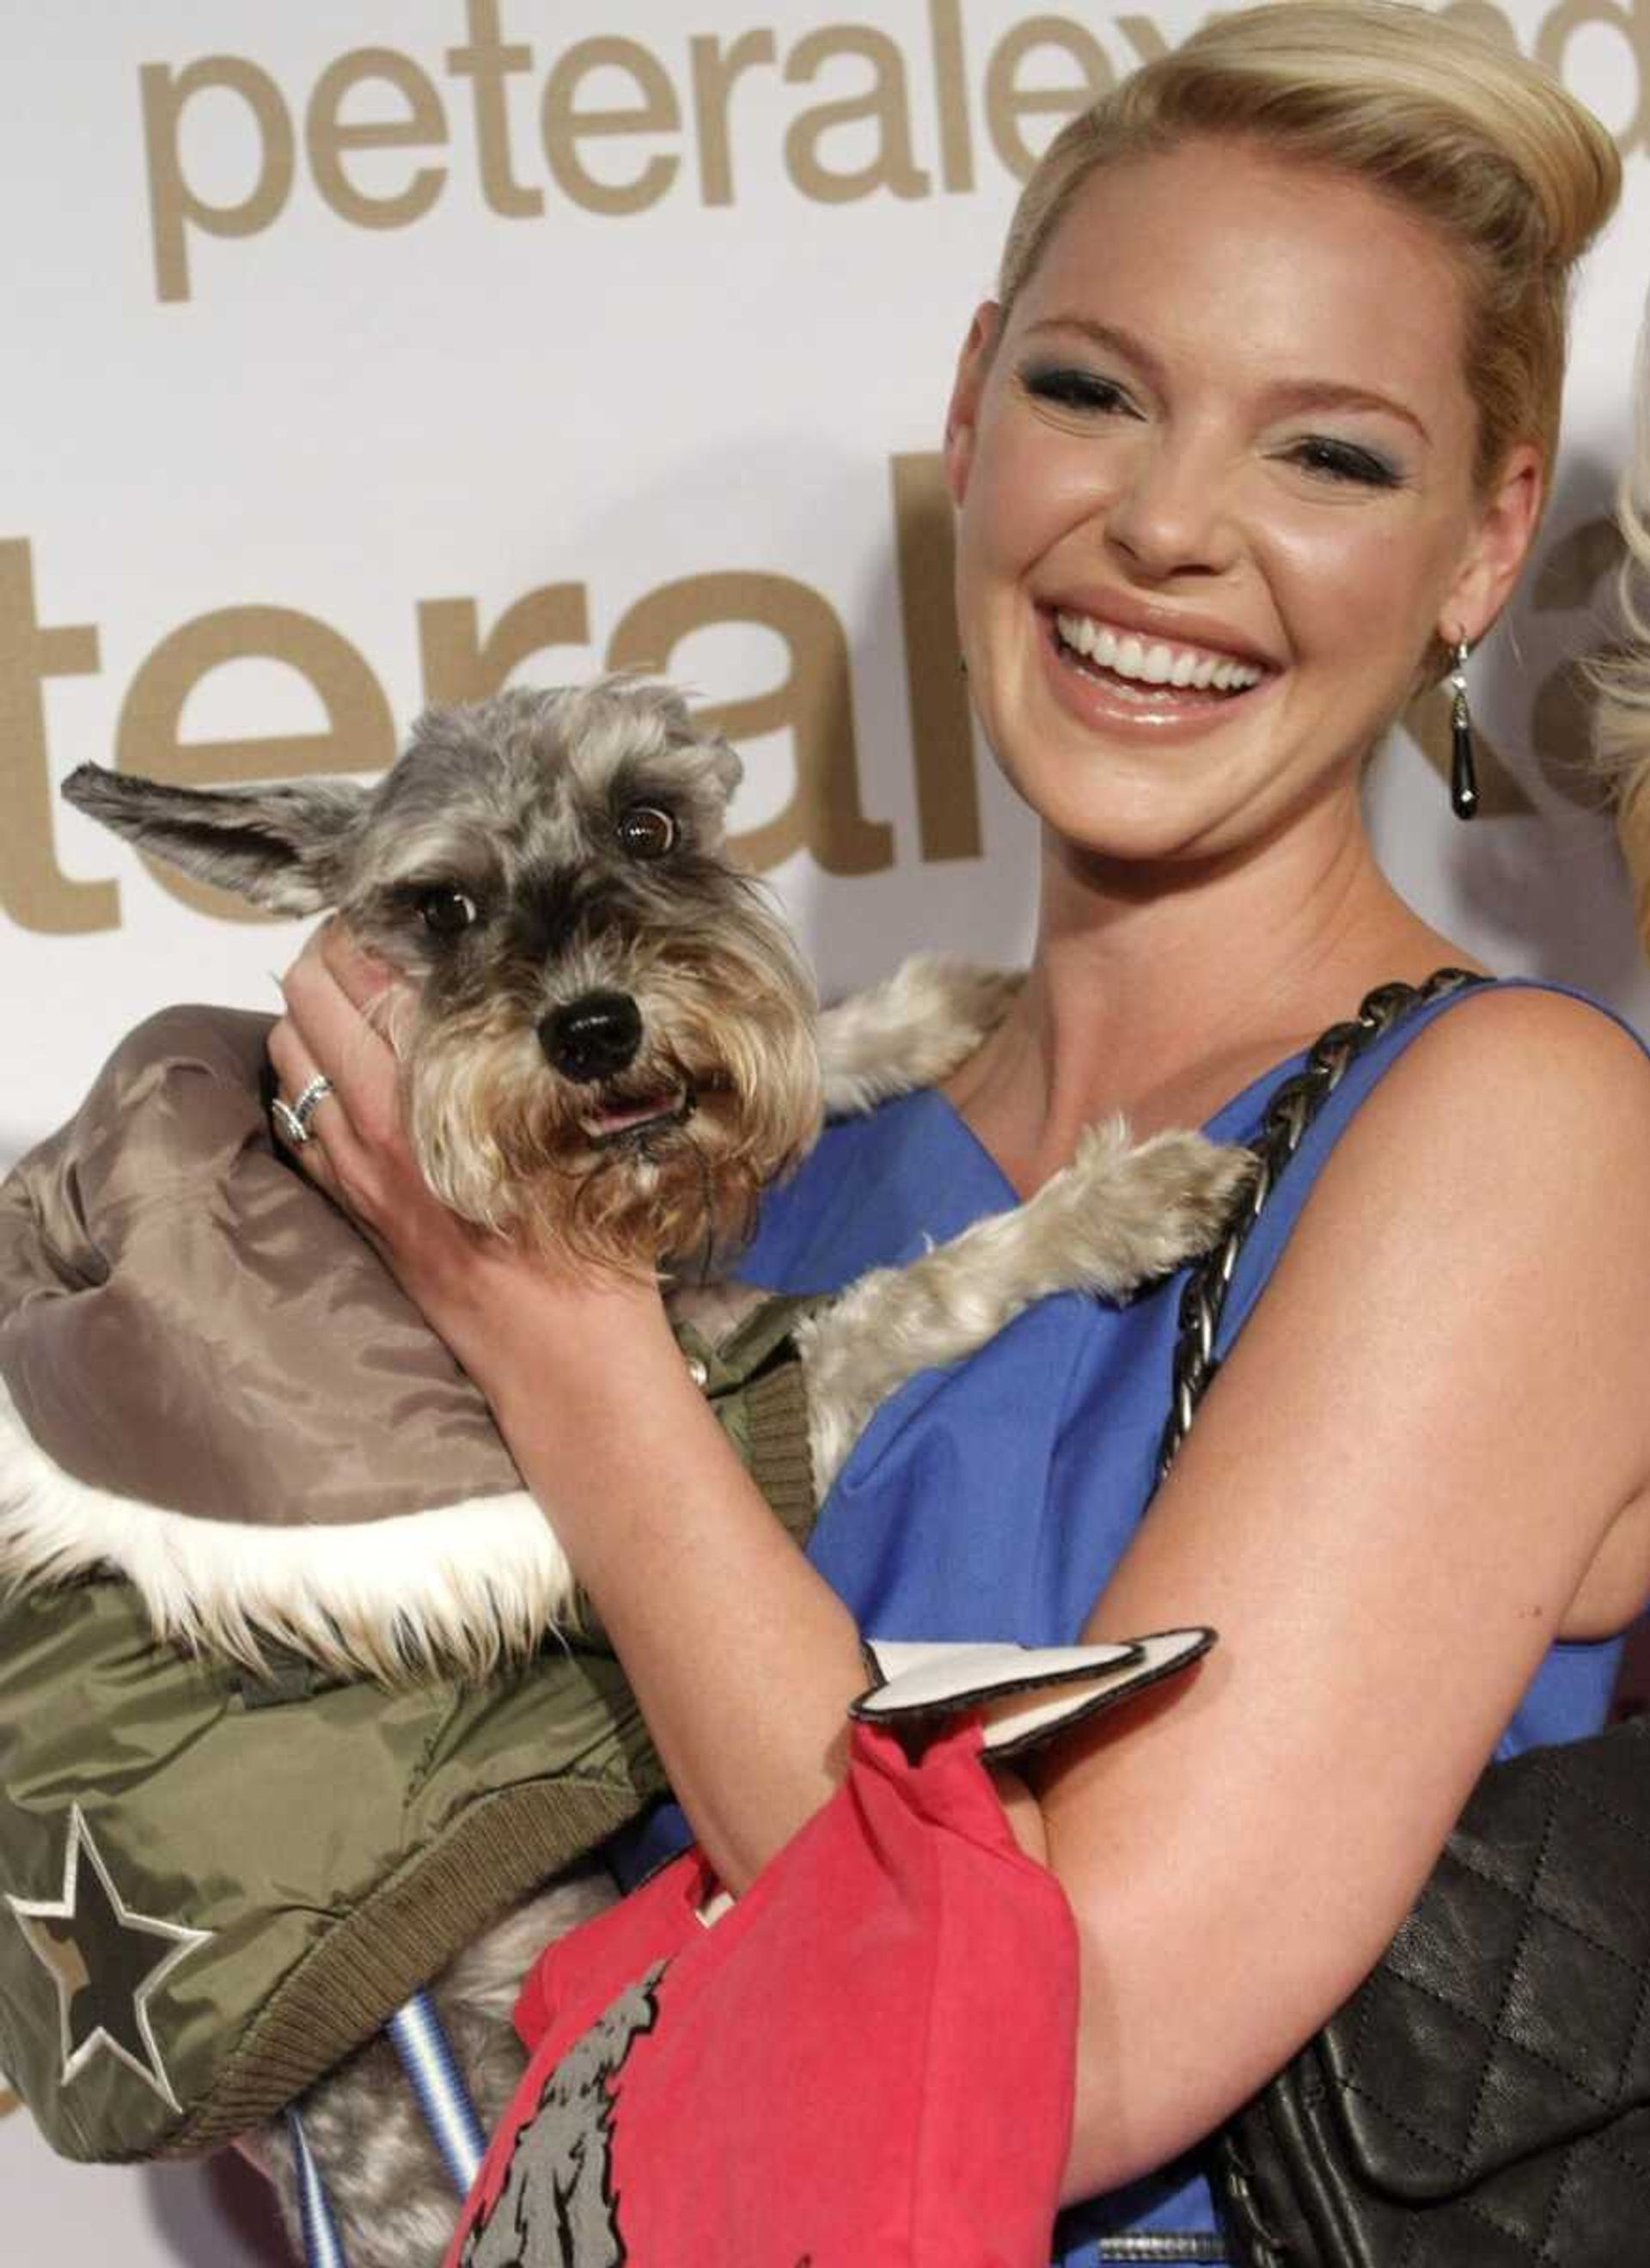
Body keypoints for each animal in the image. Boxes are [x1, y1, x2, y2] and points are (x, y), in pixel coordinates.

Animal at [64, 676, 1250, 2268]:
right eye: (440, 903)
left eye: (650, 823)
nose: (591, 1025)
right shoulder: (737, 1414)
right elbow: (914, 1292)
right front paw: (1118, 1200)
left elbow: (792, 1057)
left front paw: (927, 1010)